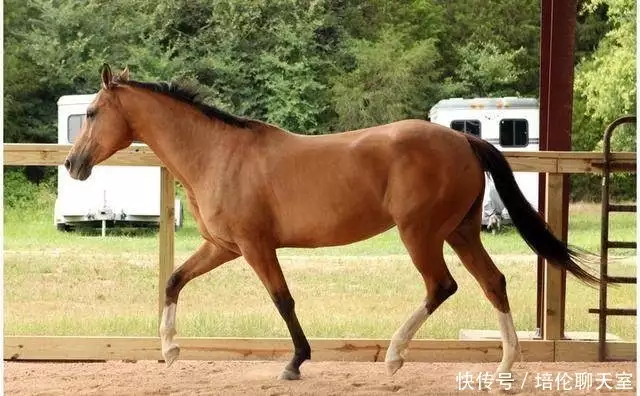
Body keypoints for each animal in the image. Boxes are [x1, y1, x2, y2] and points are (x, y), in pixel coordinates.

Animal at [65, 65, 600, 380]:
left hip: (421, 234)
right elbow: (174, 280)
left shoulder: (256, 247)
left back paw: (395, 356)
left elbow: (282, 300)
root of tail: (465, 141)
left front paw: (295, 362)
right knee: (493, 282)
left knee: (442, 286)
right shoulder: (224, 246)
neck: (218, 155)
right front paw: (170, 350)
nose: (73, 164)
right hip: (461, 231)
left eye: (91, 112)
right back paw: (506, 368)